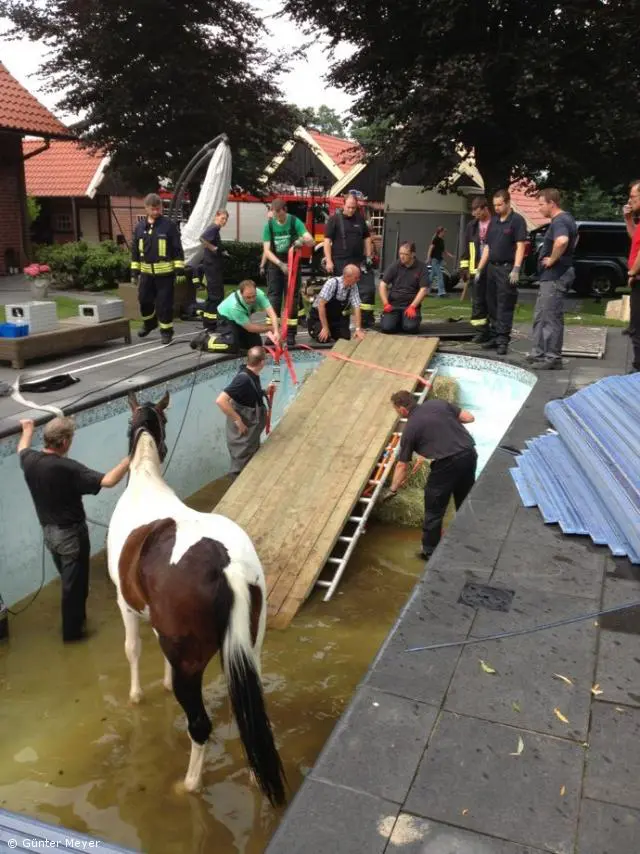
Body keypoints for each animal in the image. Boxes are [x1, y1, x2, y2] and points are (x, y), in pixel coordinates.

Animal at [106, 392, 286, 804]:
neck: (145, 484)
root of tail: (226, 565)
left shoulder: (125, 606)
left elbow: (132, 649)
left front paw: (136, 695)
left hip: (192, 665)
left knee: (200, 725)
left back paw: (188, 785)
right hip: (250, 648)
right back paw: (255, 774)